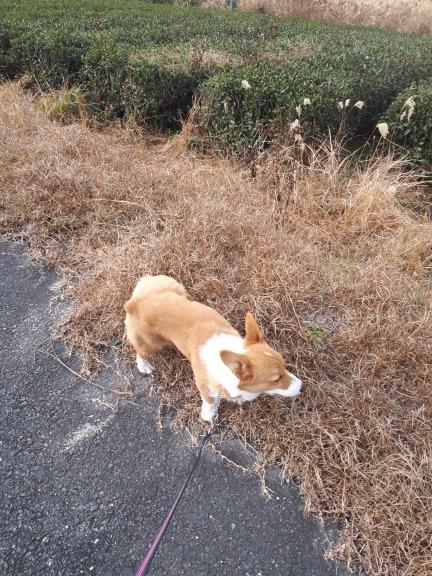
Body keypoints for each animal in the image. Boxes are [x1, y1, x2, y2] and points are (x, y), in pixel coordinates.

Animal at [124, 275, 302, 421]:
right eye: (276, 379)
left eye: (285, 367)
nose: (302, 386)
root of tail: (135, 302)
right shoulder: (205, 388)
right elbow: (209, 402)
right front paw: (208, 415)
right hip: (150, 344)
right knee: (140, 351)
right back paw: (144, 366)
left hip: (175, 287)